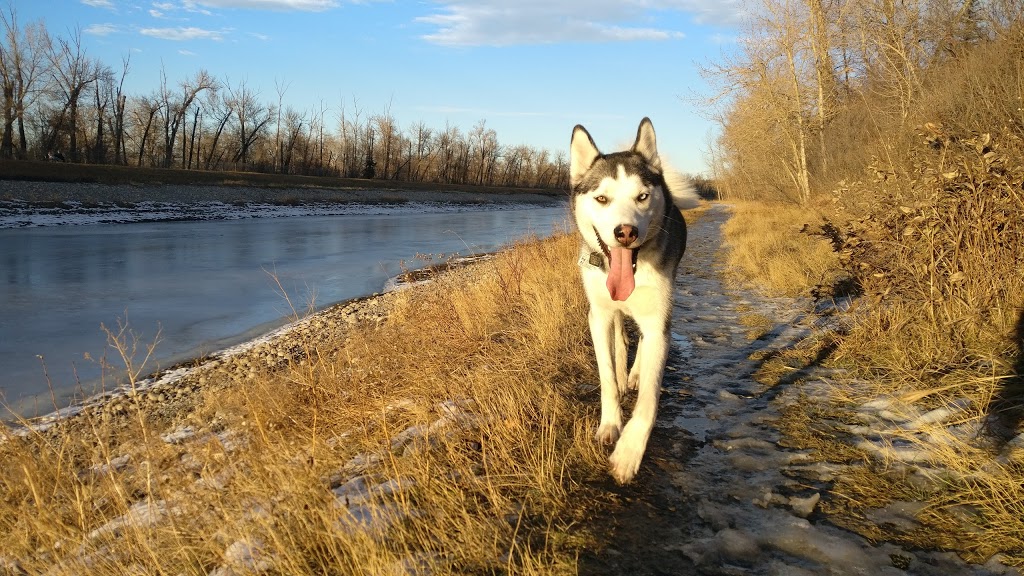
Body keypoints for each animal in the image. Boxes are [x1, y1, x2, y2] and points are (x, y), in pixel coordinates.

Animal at [569, 117, 696, 483]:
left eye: (642, 196)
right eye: (602, 198)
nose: (625, 232)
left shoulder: (658, 323)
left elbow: (649, 400)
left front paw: (628, 453)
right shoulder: (598, 315)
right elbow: (607, 376)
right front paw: (610, 424)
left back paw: (635, 373)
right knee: (620, 338)